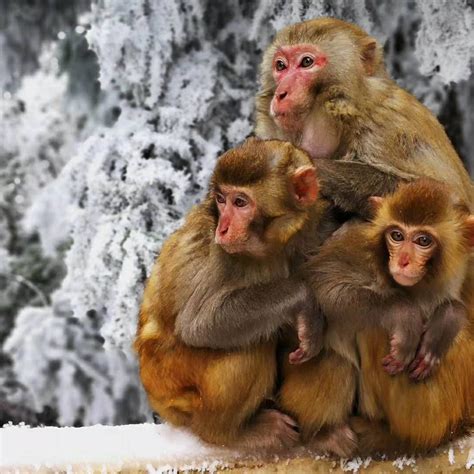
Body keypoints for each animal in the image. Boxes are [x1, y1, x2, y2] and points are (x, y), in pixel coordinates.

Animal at [135, 138, 326, 452]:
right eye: (221, 200)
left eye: (240, 202)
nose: (223, 228)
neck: (268, 247)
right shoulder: (222, 256)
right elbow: (198, 324)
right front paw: (305, 300)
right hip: (178, 382)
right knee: (250, 344)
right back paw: (230, 433)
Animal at [310, 178, 472, 382]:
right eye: (397, 236)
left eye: (423, 240)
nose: (402, 261)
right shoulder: (361, 250)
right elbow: (325, 284)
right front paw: (405, 316)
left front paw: (443, 327)